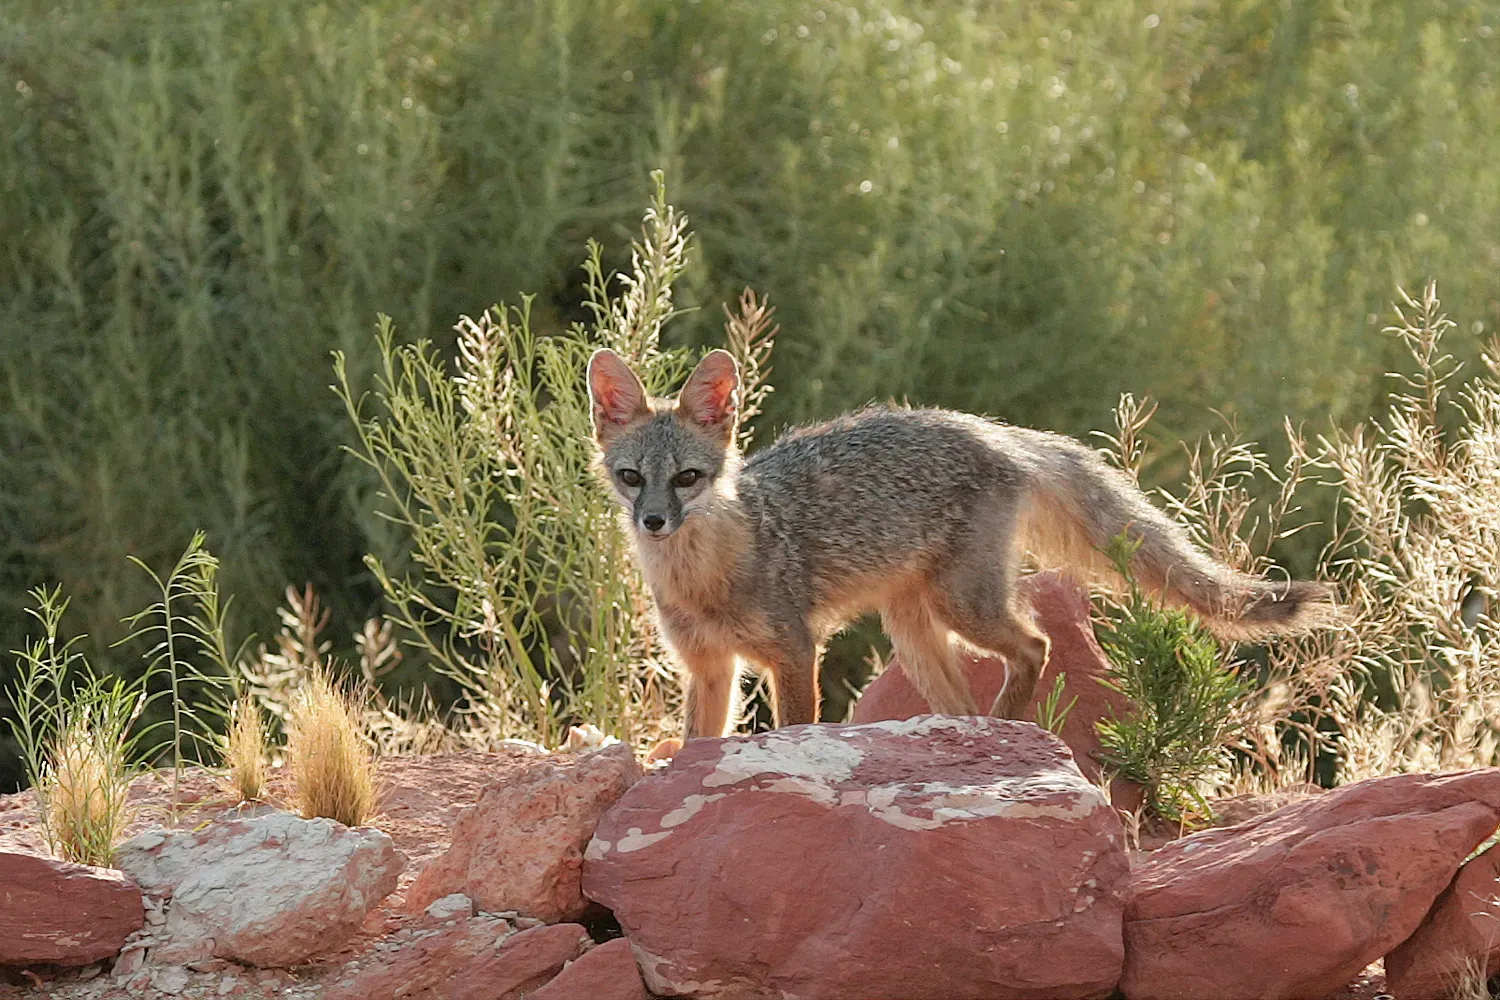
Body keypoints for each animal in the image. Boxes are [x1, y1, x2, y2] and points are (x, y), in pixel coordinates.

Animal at [587, 347, 1340, 739]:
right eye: (633, 478)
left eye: (688, 478)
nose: (654, 522)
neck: (701, 579)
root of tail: (988, 427)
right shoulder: (710, 668)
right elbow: (694, 747)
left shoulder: (795, 653)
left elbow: (794, 727)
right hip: (915, 633)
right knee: (970, 697)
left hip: (962, 608)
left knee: (1034, 645)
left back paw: (1007, 730)